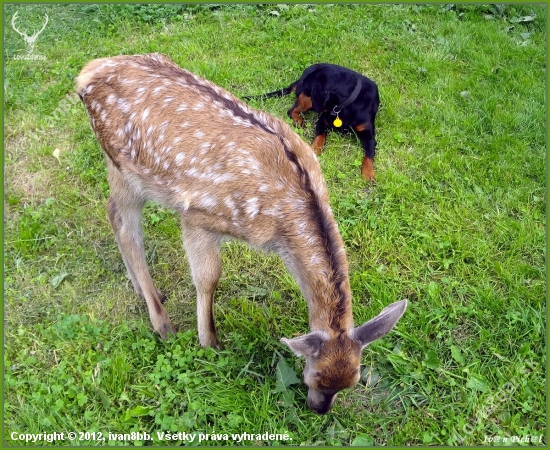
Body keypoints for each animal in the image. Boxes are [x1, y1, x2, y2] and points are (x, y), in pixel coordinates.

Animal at [246, 62, 380, 181]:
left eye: (308, 88)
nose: (299, 91)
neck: (344, 106)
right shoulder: (321, 122)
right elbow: (320, 137)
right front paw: (314, 150)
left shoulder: (369, 135)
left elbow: (369, 154)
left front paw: (368, 173)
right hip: (307, 102)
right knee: (291, 110)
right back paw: (298, 120)